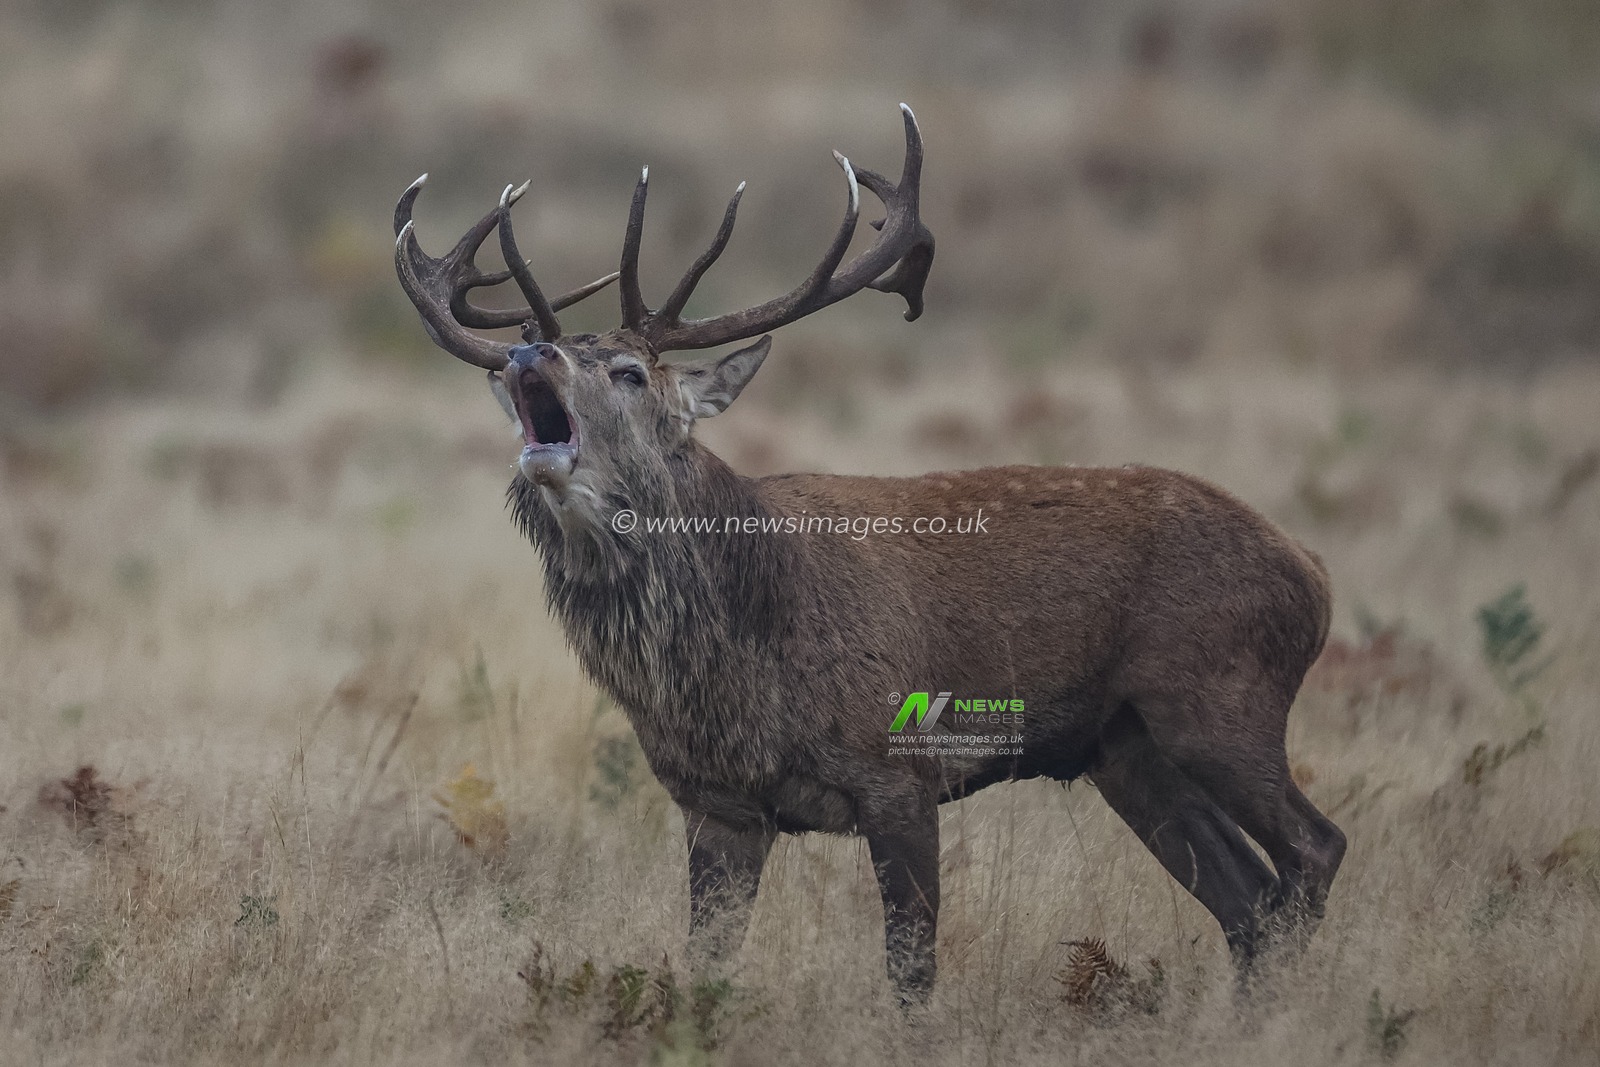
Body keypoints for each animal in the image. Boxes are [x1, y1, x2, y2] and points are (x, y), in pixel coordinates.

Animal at [392, 104, 1346, 1006]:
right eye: (535, 357)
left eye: (628, 370)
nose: (528, 348)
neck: (741, 676)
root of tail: (1314, 574)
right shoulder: (716, 804)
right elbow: (705, 964)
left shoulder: (902, 771)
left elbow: (911, 970)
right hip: (1126, 747)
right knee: (1247, 902)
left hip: (1219, 696)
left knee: (1315, 847)